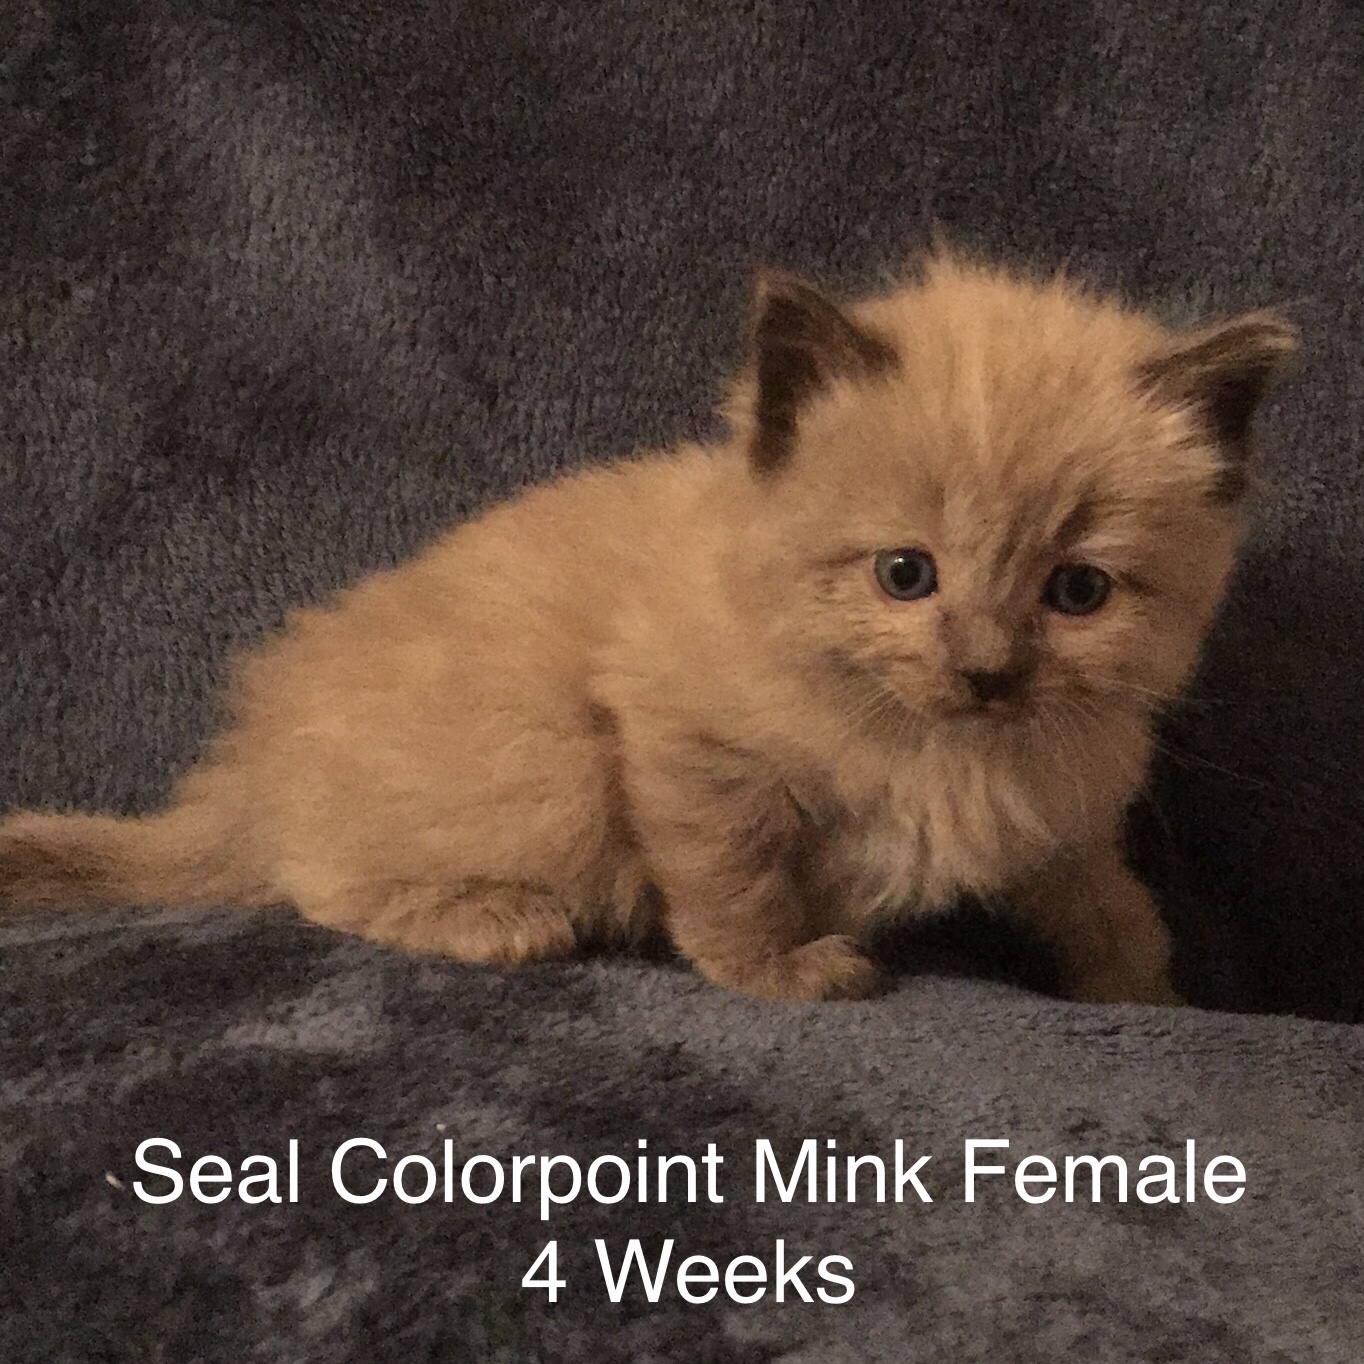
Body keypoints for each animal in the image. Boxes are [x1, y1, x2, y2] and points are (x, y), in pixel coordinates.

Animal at [0, 252, 1296, 1004]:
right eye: (904, 573)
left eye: (1076, 592)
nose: (985, 669)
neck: (943, 747)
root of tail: (245, 769)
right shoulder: (682, 740)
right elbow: (733, 876)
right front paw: (779, 970)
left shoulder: (1054, 818)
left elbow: (1108, 904)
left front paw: (1150, 997)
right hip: (543, 764)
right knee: (314, 875)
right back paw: (497, 922)